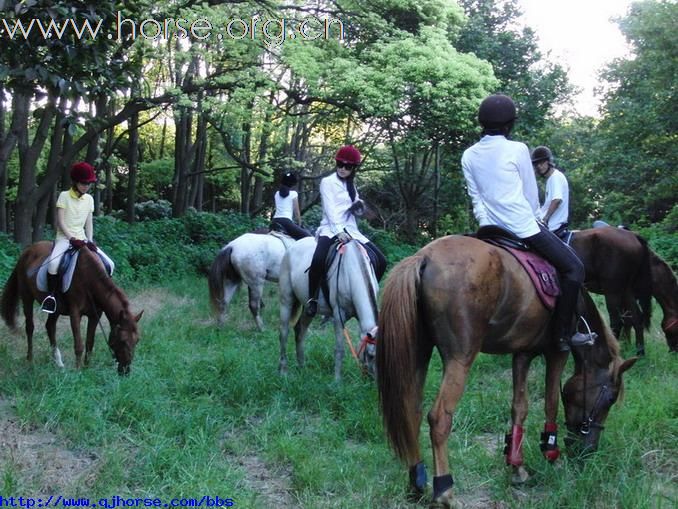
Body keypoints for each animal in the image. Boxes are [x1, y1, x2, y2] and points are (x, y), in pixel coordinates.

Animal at [0, 238, 142, 374]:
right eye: (123, 340)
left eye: (137, 341)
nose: (125, 371)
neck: (88, 278)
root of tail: (27, 251)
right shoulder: (75, 313)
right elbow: (79, 345)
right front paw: (78, 371)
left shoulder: (95, 315)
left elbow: (90, 342)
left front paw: (86, 369)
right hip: (27, 297)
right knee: (30, 328)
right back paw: (30, 360)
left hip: (55, 309)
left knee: (50, 327)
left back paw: (58, 363)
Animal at [278, 236, 382, 380]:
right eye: (371, 355)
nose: (374, 380)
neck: (352, 272)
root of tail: (292, 247)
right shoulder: (339, 317)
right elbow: (339, 349)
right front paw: (337, 380)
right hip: (286, 300)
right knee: (284, 332)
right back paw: (283, 370)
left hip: (308, 309)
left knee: (300, 330)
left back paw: (302, 367)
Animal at [378, 235, 636, 508]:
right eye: (610, 398)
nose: (588, 450)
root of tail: (424, 257)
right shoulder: (557, 352)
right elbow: (551, 403)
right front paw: (551, 454)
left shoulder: (522, 354)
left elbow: (519, 408)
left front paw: (516, 467)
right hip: (460, 358)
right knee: (439, 418)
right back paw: (444, 490)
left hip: (420, 352)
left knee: (411, 412)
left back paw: (417, 483)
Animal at [572, 226, 678, 354]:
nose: (673, 351)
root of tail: (633, 236)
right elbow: (628, 320)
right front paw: (626, 345)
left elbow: (627, 320)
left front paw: (625, 345)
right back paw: (638, 351)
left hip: (614, 292)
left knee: (620, 321)